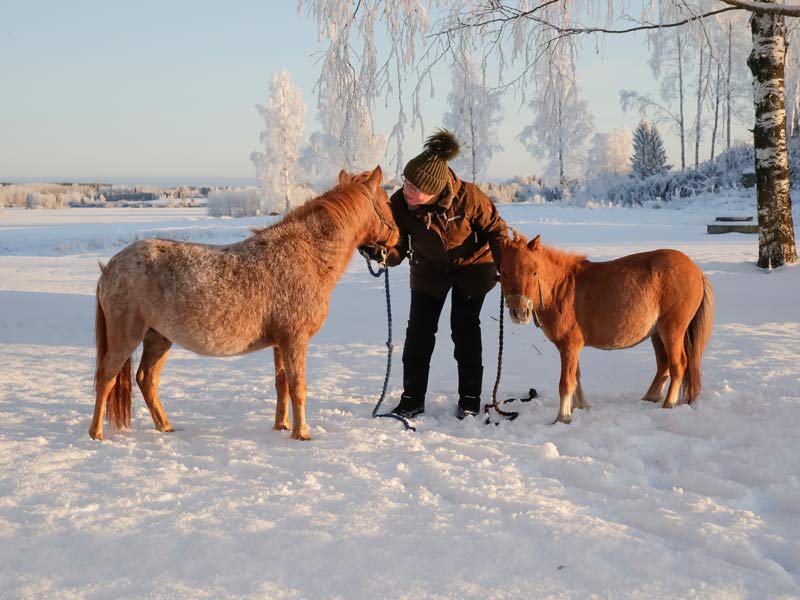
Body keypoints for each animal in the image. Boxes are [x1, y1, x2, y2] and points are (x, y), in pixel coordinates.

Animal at [90, 168, 396, 440]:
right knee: (106, 378)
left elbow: (282, 384)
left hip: (158, 338)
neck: (307, 254)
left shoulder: (280, 342)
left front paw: (282, 426)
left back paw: (165, 427)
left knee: (146, 380)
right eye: (386, 201)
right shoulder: (295, 339)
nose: (396, 241)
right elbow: (298, 386)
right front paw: (302, 433)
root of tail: (110, 268)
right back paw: (96, 433)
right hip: (127, 337)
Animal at [500, 232, 712, 424]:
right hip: (657, 333)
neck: (561, 289)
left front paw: (563, 417)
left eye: (534, 271)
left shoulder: (569, 346)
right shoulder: (572, 347)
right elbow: (576, 377)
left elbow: (566, 383)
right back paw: (649, 399)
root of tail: (697, 271)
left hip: (672, 331)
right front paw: (580, 407)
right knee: (664, 365)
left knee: (678, 365)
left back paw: (668, 405)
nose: (519, 312)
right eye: (504, 272)